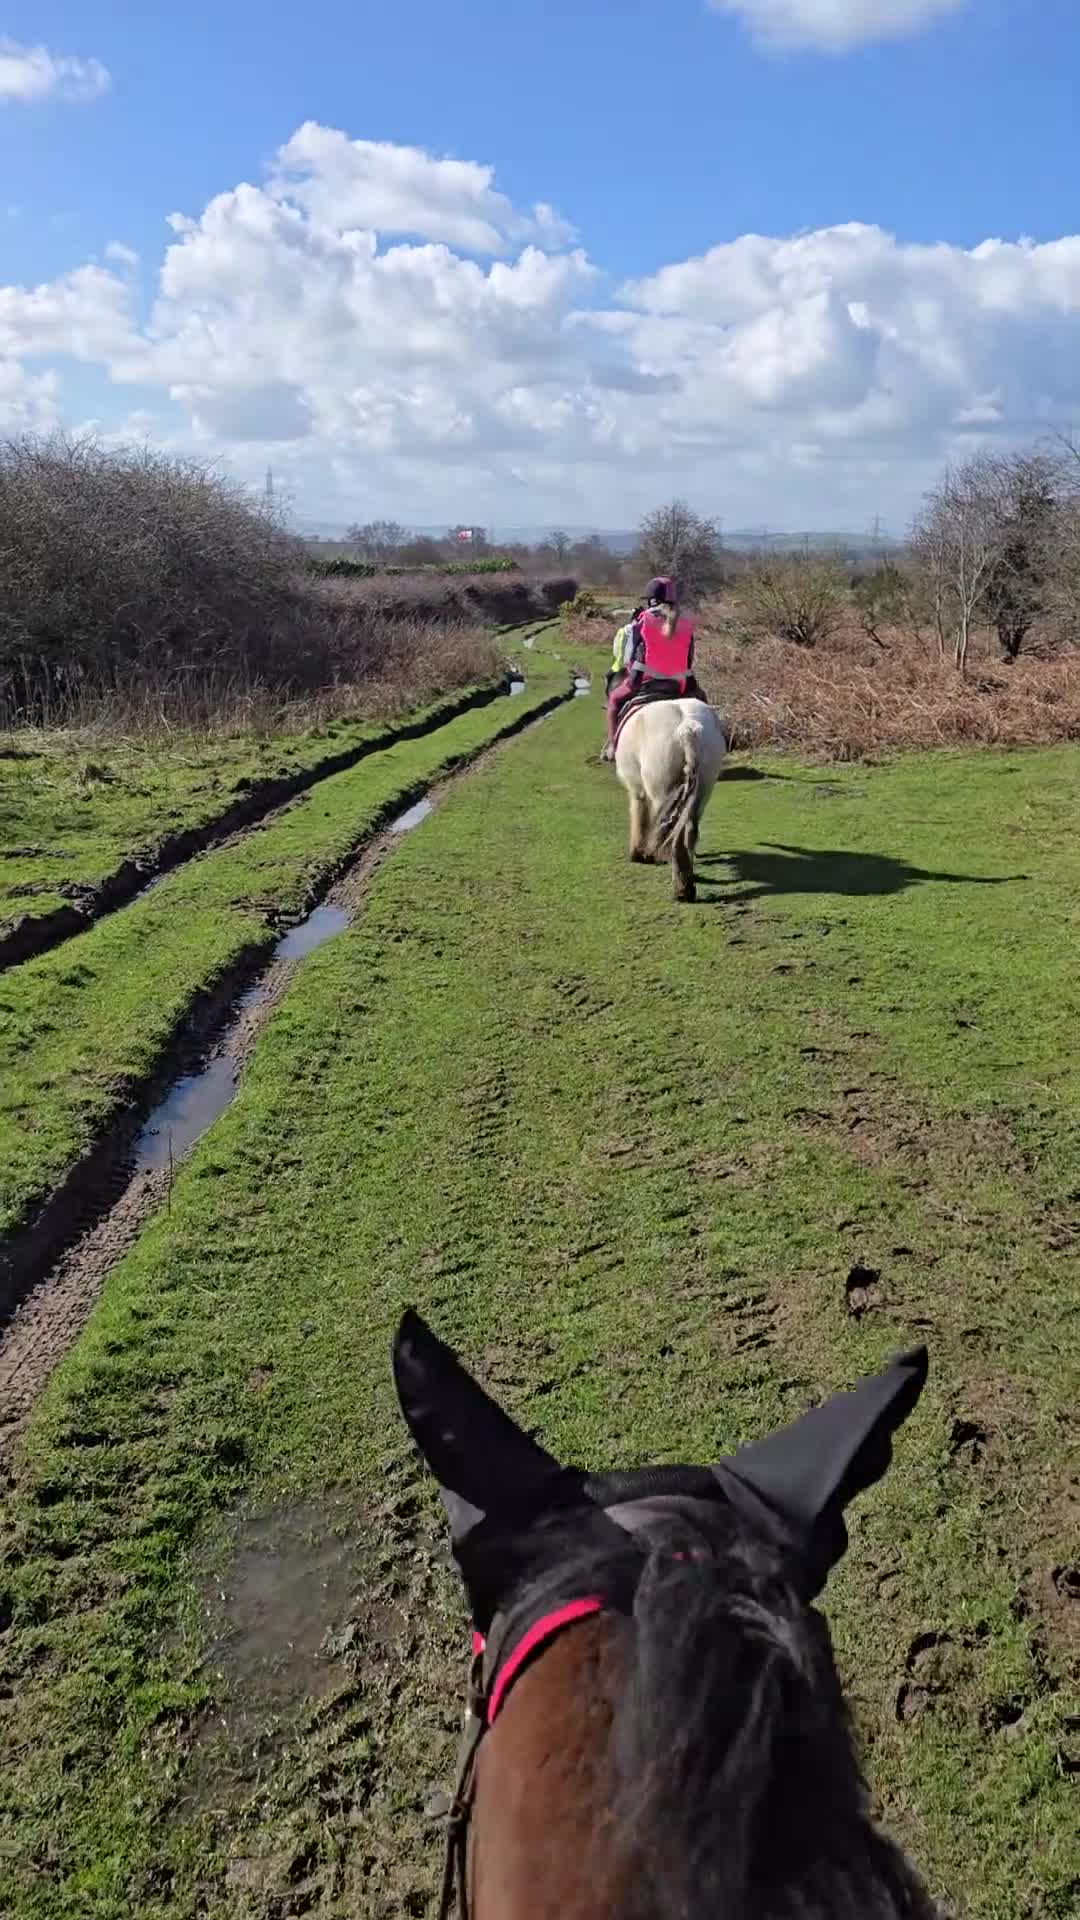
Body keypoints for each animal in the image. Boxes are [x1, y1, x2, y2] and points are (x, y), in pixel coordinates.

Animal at [614, 697, 727, 903]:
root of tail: (686, 729)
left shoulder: (636, 788)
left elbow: (638, 813)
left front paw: (637, 854)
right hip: (705, 781)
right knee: (690, 826)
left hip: (662, 784)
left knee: (671, 831)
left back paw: (681, 887)